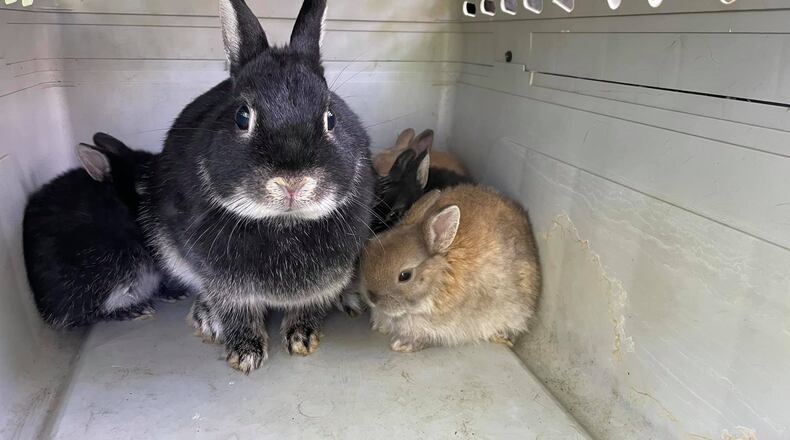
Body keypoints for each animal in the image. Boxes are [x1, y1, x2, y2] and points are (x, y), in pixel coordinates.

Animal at [139, 0, 375, 373]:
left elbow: (310, 305)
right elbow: (236, 311)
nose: (293, 183)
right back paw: (206, 319)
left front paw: (303, 338)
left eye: (331, 118)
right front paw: (245, 354)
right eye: (242, 116)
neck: (283, 223)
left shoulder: (327, 281)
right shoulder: (224, 284)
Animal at [359, 184, 541, 352]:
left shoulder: (441, 328)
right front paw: (380, 327)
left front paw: (402, 345)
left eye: (405, 275)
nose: (371, 297)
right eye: (370, 246)